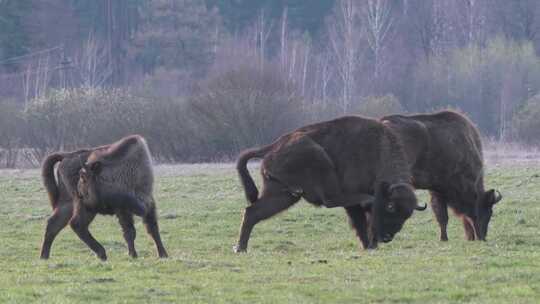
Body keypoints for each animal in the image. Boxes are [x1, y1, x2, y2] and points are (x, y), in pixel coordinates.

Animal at [39, 134, 167, 260]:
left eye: (84, 178)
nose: (80, 193)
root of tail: (66, 156)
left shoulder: (148, 203)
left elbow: (152, 229)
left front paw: (163, 254)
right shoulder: (122, 209)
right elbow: (130, 232)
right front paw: (133, 255)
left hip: (70, 204)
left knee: (54, 224)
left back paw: (44, 256)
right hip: (86, 208)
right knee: (76, 224)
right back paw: (102, 254)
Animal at [234, 115, 428, 253]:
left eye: (407, 215)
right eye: (390, 207)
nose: (387, 237)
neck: (379, 151)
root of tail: (274, 145)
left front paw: (371, 245)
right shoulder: (354, 205)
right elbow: (361, 221)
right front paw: (368, 245)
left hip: (283, 194)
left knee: (252, 212)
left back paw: (241, 248)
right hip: (319, 160)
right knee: (330, 199)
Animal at [380, 110, 502, 241]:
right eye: (487, 210)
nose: (482, 237)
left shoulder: (437, 190)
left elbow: (441, 216)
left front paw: (443, 238)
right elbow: (445, 217)